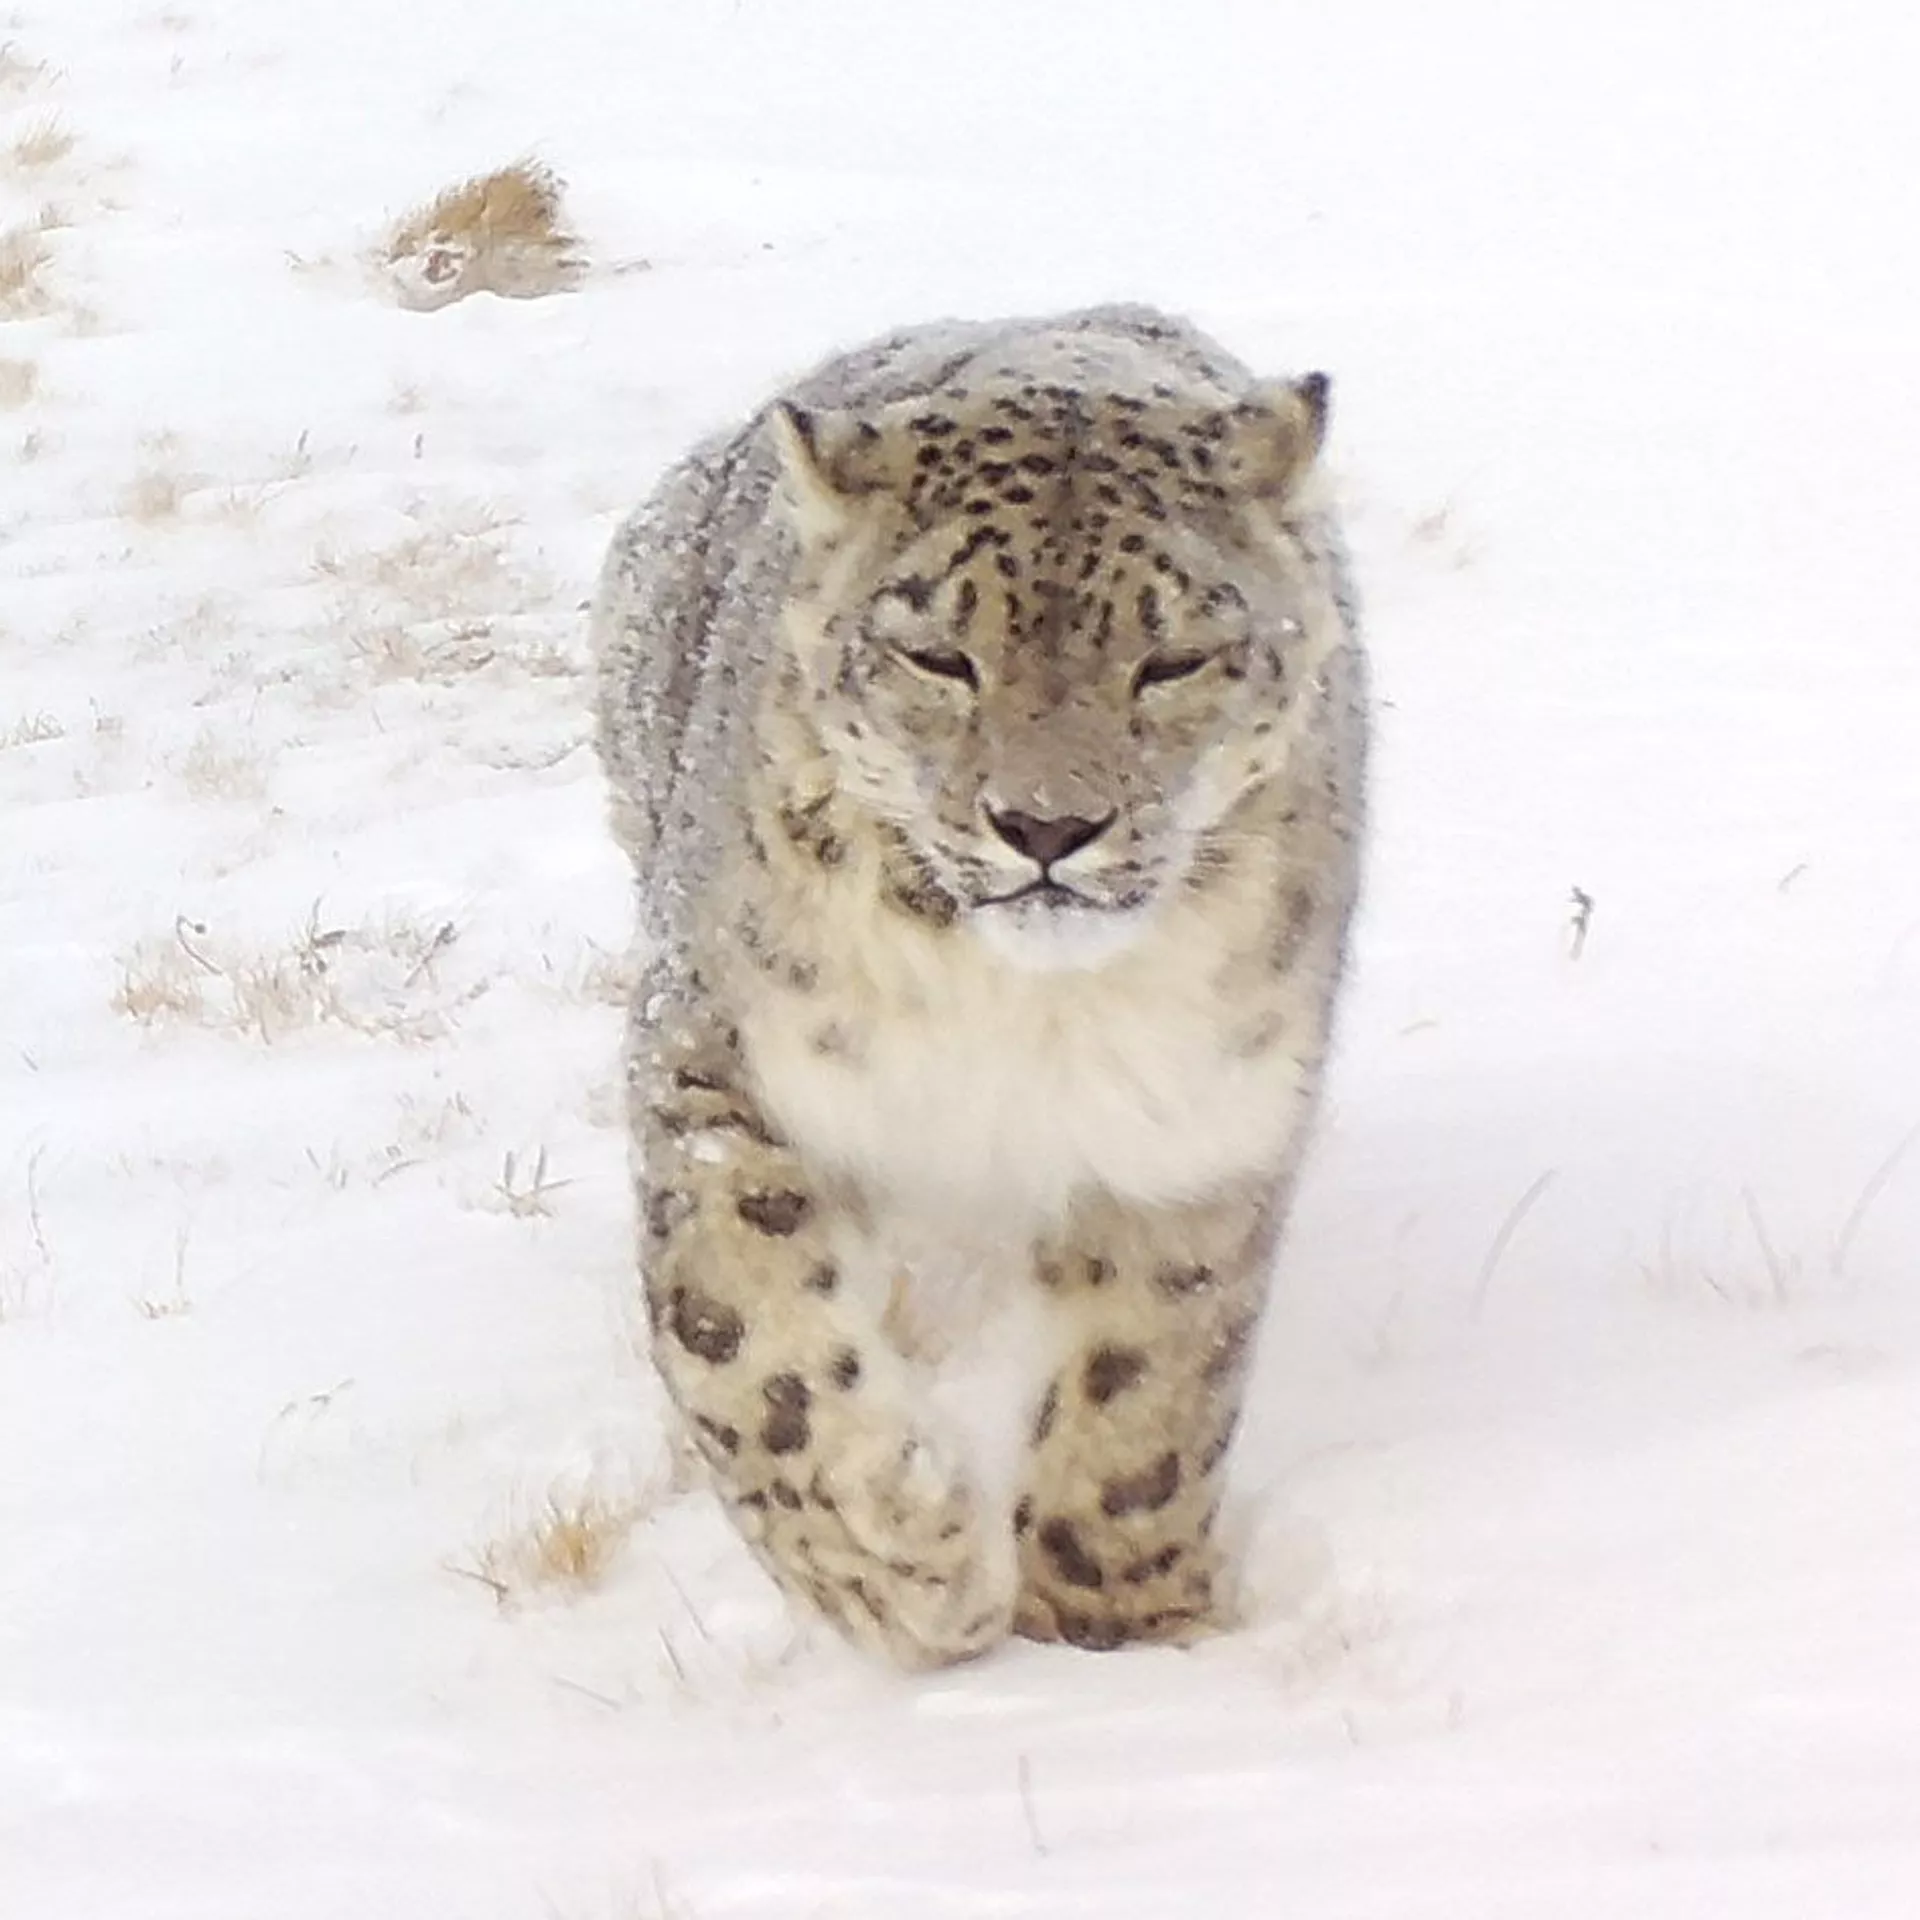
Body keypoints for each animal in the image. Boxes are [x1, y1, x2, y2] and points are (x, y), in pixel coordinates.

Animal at [591, 304, 1367, 1668]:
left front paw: (1117, 1633)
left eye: (1174, 659)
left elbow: (1150, 1384)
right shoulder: (714, 1044)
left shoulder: (1198, 1124)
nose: (1046, 825)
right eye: (937, 655)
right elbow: (739, 1328)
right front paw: (897, 1565)